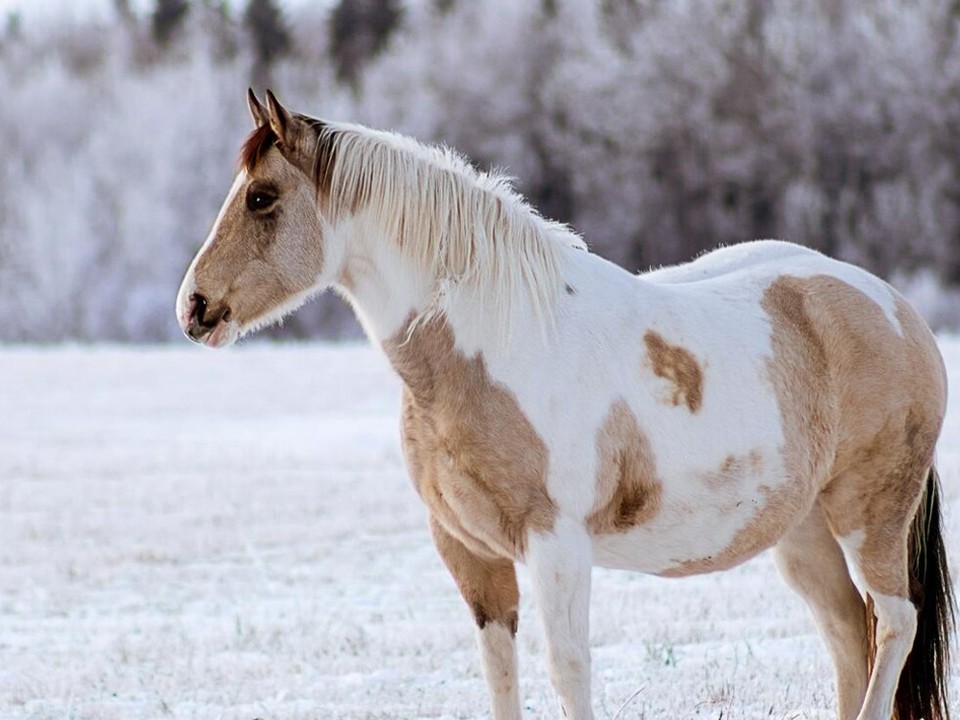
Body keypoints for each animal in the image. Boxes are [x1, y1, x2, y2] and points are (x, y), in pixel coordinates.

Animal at [178, 90, 952, 720]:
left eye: (262, 198)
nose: (194, 308)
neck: (496, 342)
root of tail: (898, 311)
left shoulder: (556, 545)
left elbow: (567, 671)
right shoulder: (467, 551)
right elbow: (500, 675)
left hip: (869, 516)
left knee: (895, 624)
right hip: (804, 533)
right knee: (849, 635)